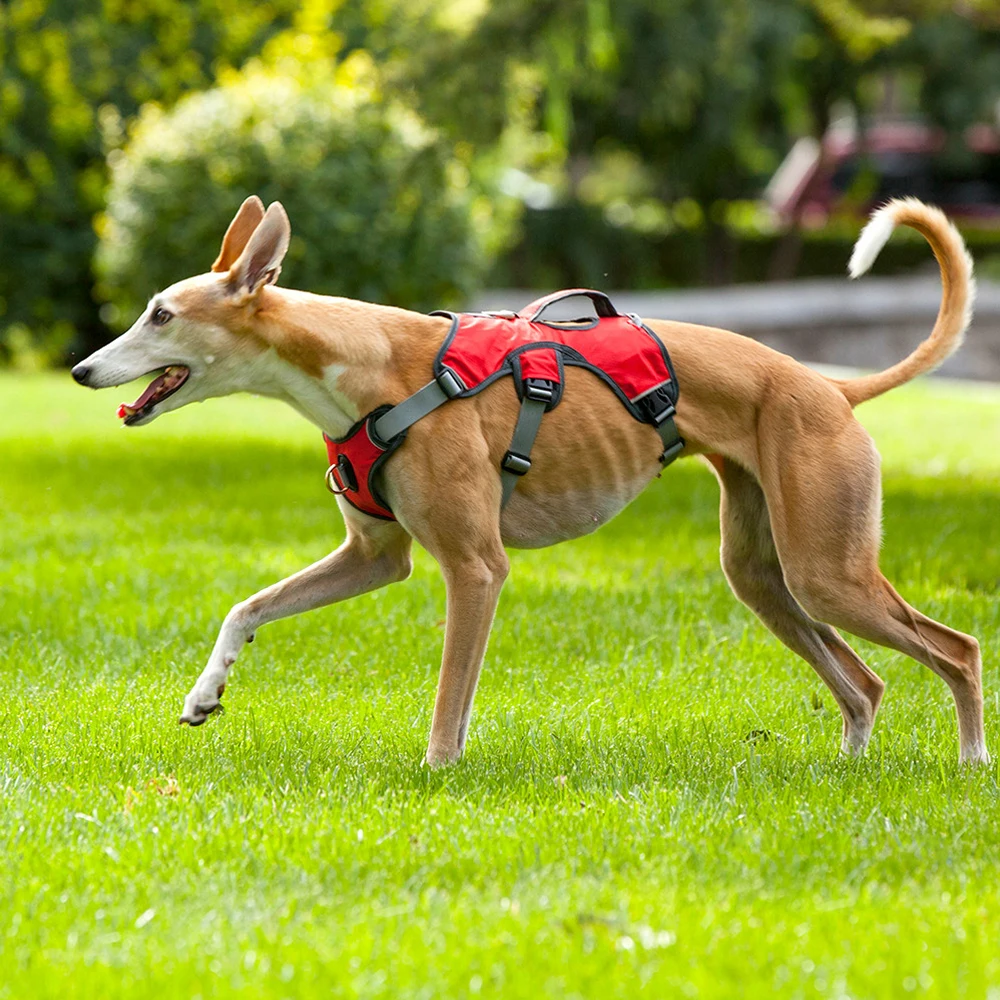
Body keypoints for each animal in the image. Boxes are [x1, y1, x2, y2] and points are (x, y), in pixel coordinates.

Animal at [74, 197, 988, 772]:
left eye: (160, 314)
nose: (81, 370)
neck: (368, 367)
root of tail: (832, 389)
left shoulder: (477, 567)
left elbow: (451, 693)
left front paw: (437, 771)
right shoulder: (375, 557)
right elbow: (247, 606)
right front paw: (205, 694)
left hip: (828, 570)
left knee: (958, 649)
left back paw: (972, 761)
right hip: (767, 575)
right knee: (865, 683)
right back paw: (850, 768)